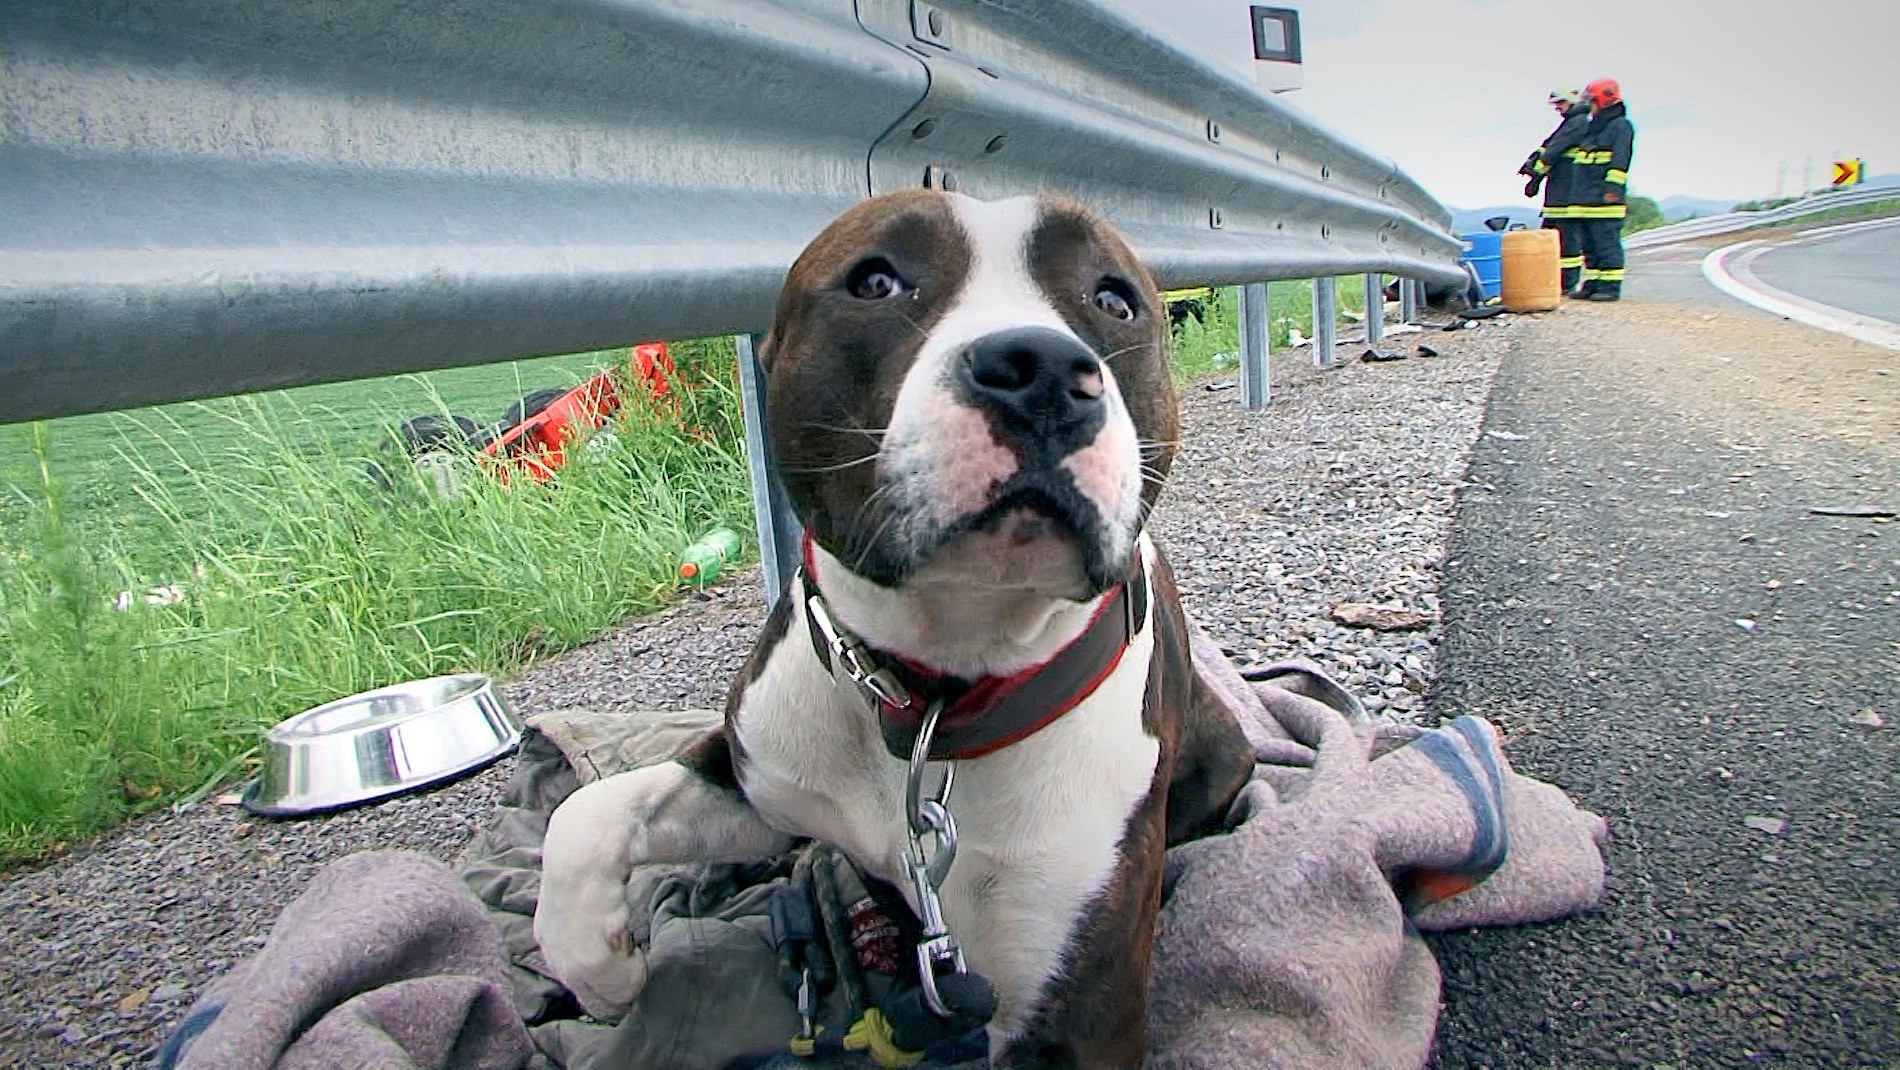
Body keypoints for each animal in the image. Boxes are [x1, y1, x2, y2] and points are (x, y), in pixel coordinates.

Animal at [535, 190, 1254, 1067]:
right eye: (875, 280)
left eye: (1115, 299)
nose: (1043, 371)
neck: (935, 688)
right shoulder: (760, 764)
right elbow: (593, 809)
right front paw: (596, 965)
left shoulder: (1077, 1009)